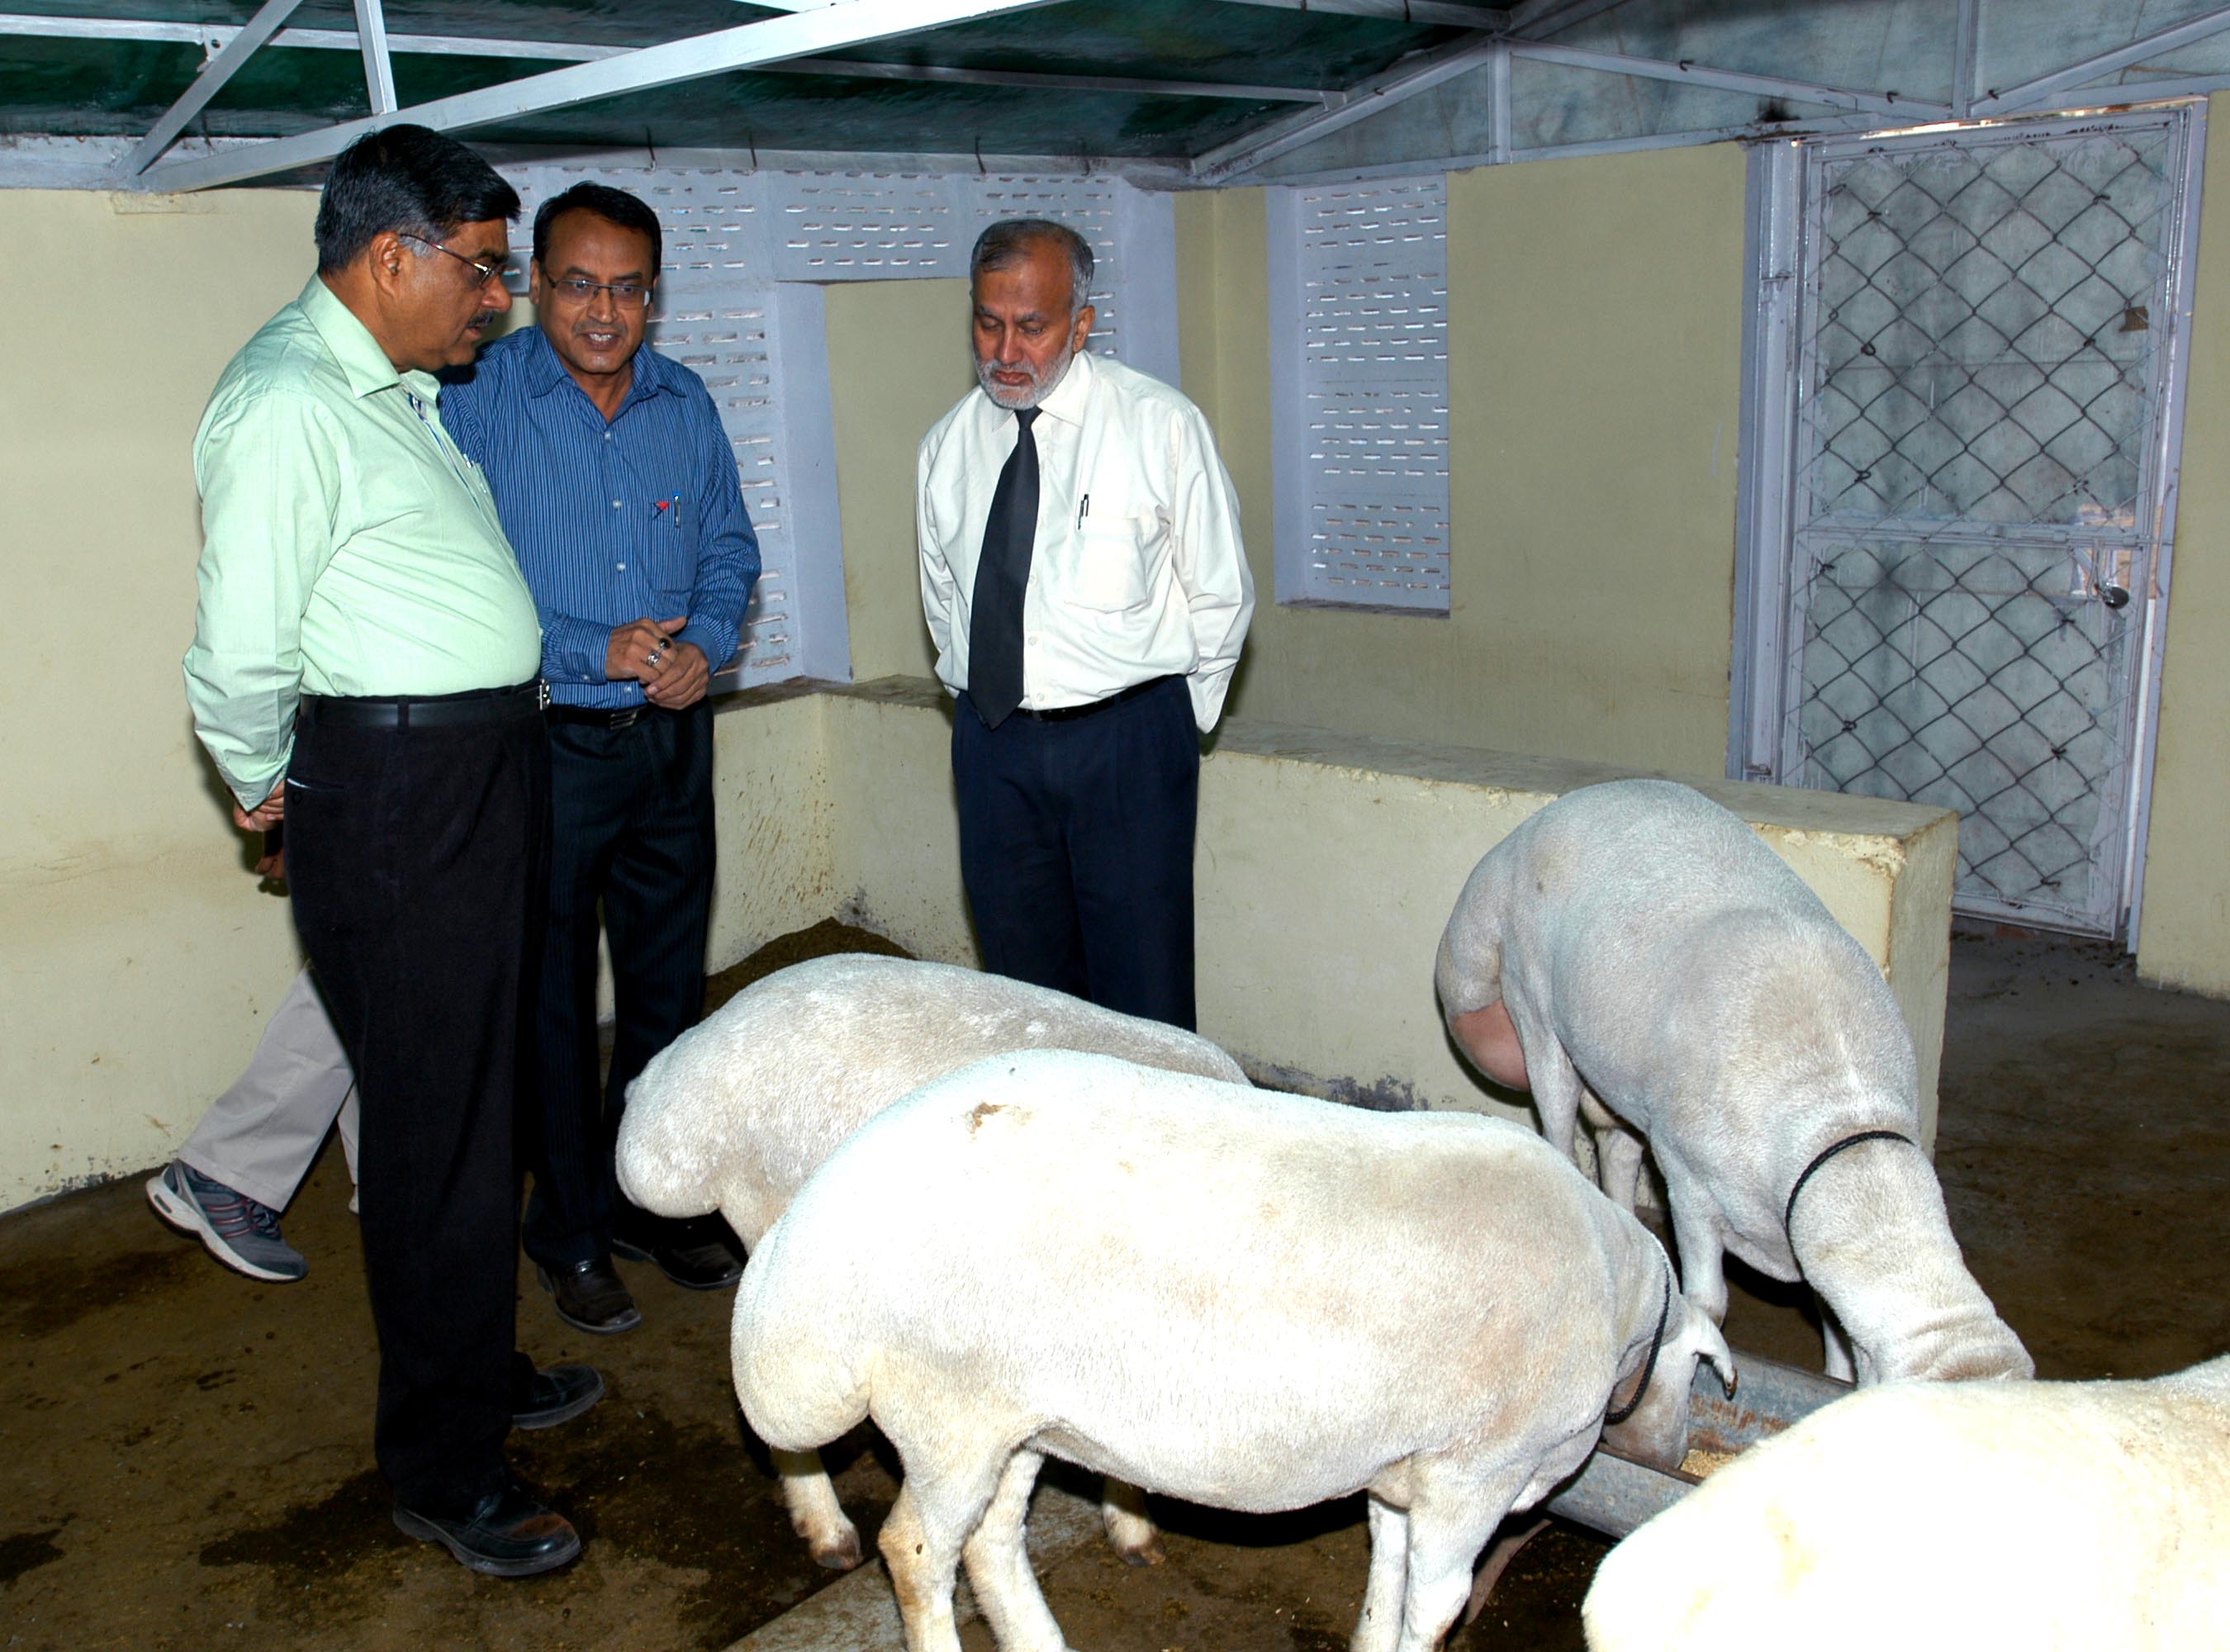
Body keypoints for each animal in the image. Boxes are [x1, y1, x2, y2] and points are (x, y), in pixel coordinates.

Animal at [731, 1051, 1739, 1650]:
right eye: (1699, 1376)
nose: (1670, 1456)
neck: (1620, 1306)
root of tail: (804, 1246)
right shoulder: (1473, 1474)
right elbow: (1435, 1603)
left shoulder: (1403, 1469)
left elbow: (1386, 1575)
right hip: (948, 1408)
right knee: (915, 1553)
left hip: (1009, 1411)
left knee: (991, 1546)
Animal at [1427, 780, 2043, 1382]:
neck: (1841, 1107)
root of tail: (1513, 844)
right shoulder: (1688, 1182)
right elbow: (1709, 1303)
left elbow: (1834, 1334)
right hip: (1534, 1006)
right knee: (1558, 1126)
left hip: (1618, 1063)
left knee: (1619, 1149)